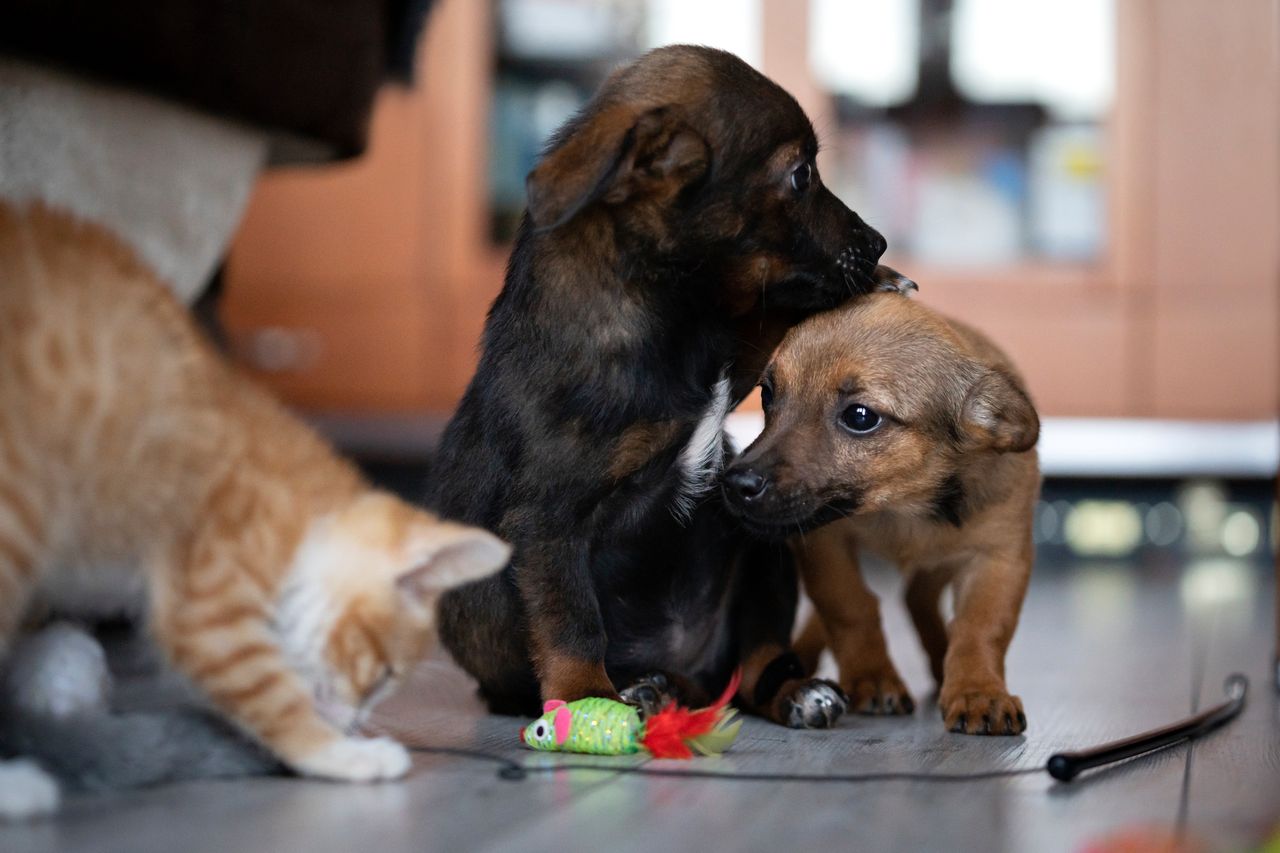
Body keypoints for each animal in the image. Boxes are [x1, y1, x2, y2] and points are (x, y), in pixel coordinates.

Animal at [430, 44, 890, 722]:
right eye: (801, 175)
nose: (878, 243)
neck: (670, 316)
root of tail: (685, 673)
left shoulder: (725, 367)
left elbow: (762, 321)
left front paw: (879, 279)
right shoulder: (548, 520)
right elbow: (571, 621)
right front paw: (587, 698)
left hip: (761, 541)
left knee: (758, 655)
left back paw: (790, 690)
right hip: (480, 613)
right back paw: (638, 689)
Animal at [721, 286, 1039, 732]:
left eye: (860, 417)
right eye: (768, 394)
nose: (736, 484)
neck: (904, 507)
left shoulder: (999, 558)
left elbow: (982, 625)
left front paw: (978, 691)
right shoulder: (826, 544)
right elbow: (850, 607)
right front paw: (872, 677)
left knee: (918, 597)